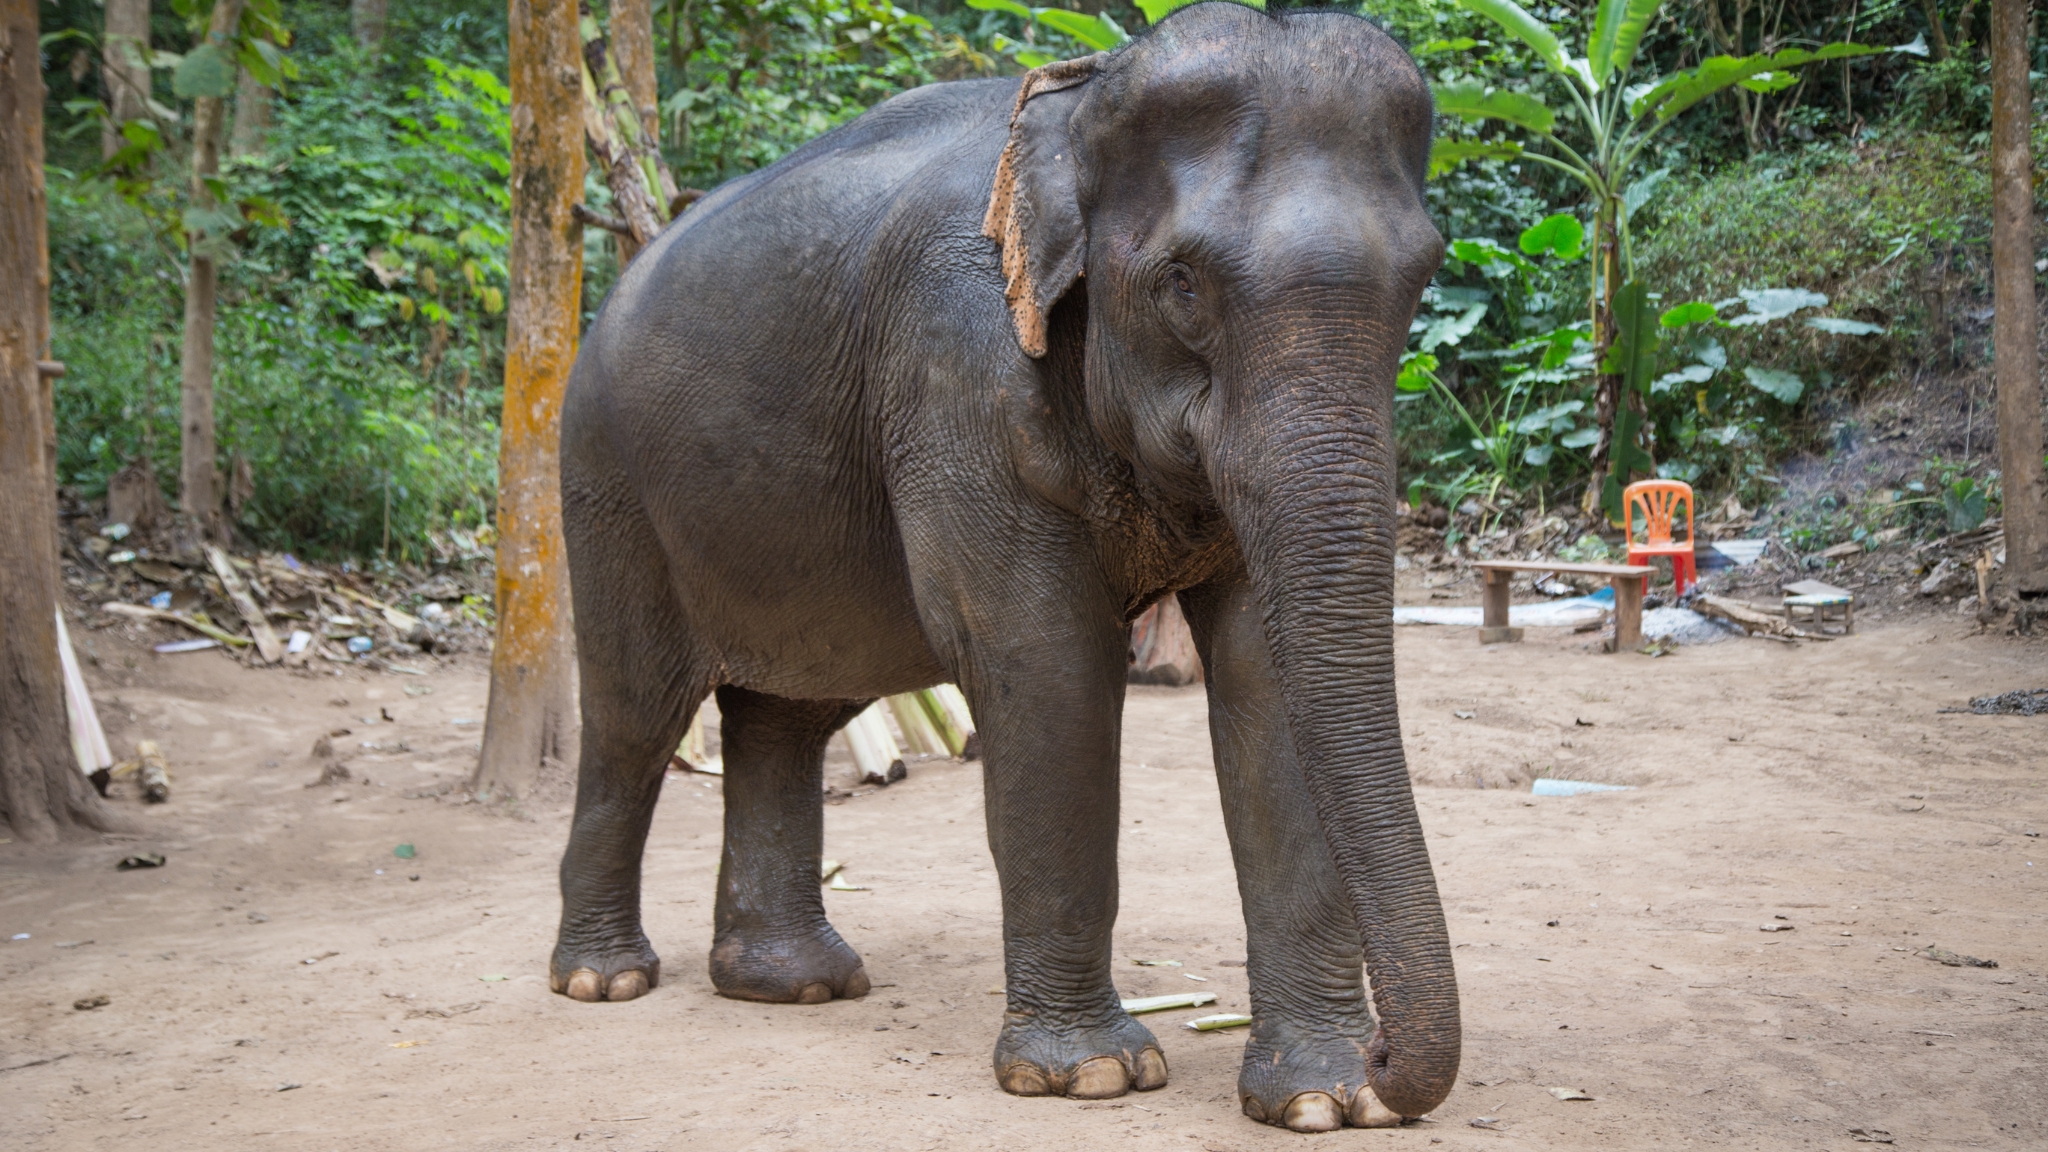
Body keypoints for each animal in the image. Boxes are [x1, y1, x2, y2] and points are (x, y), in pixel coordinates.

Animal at [550, 2, 1457, 1131]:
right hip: (606, 482)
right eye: (1181, 283)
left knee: (784, 714)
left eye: (1421, 279)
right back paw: (607, 980)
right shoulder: (955, 361)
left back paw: (794, 983)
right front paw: (1090, 1078)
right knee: (634, 713)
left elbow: (1263, 674)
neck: (1082, 99)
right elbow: (1045, 665)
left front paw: (1326, 1102)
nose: (1386, 1060)